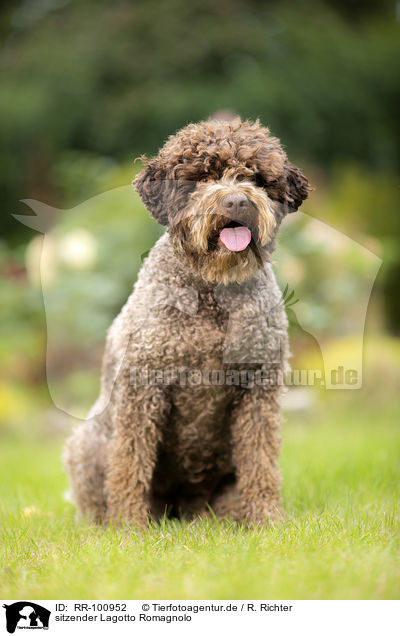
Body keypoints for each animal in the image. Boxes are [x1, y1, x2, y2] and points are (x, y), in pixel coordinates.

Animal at [65, 117, 310, 524]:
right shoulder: (142, 386)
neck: (212, 293)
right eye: (203, 177)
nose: (236, 201)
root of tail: (185, 509)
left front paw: (266, 518)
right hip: (85, 443)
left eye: (255, 178)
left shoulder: (258, 388)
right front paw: (128, 526)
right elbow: (129, 460)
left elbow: (259, 456)